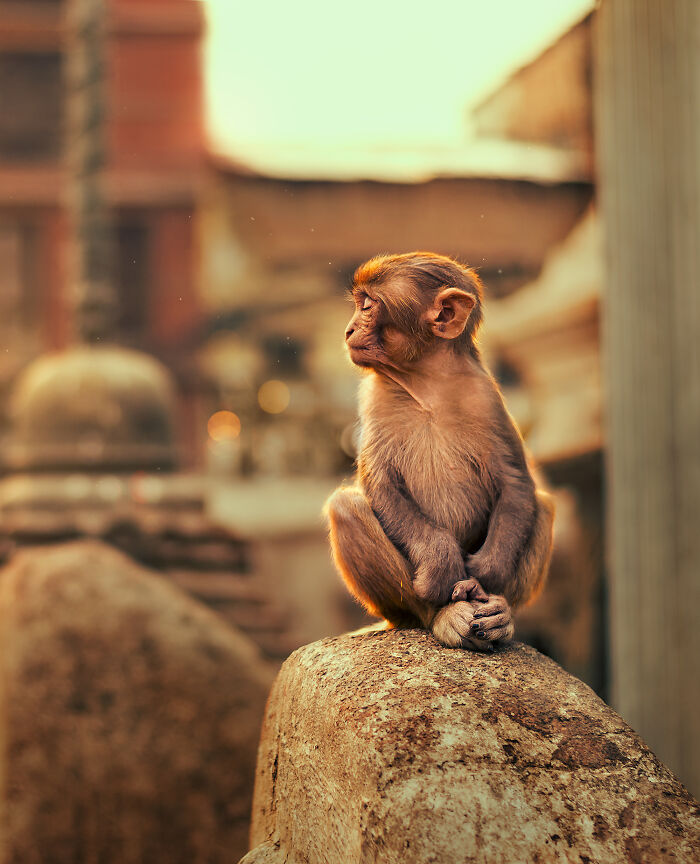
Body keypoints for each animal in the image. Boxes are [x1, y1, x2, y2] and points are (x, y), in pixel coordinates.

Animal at [324, 251, 554, 651]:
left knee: (542, 504)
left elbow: (515, 482)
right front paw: (442, 562)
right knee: (346, 507)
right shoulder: (376, 399)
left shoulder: (485, 397)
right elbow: (382, 485)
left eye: (368, 305)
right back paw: (442, 616)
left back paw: (500, 613)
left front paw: (485, 571)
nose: (349, 330)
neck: (427, 383)